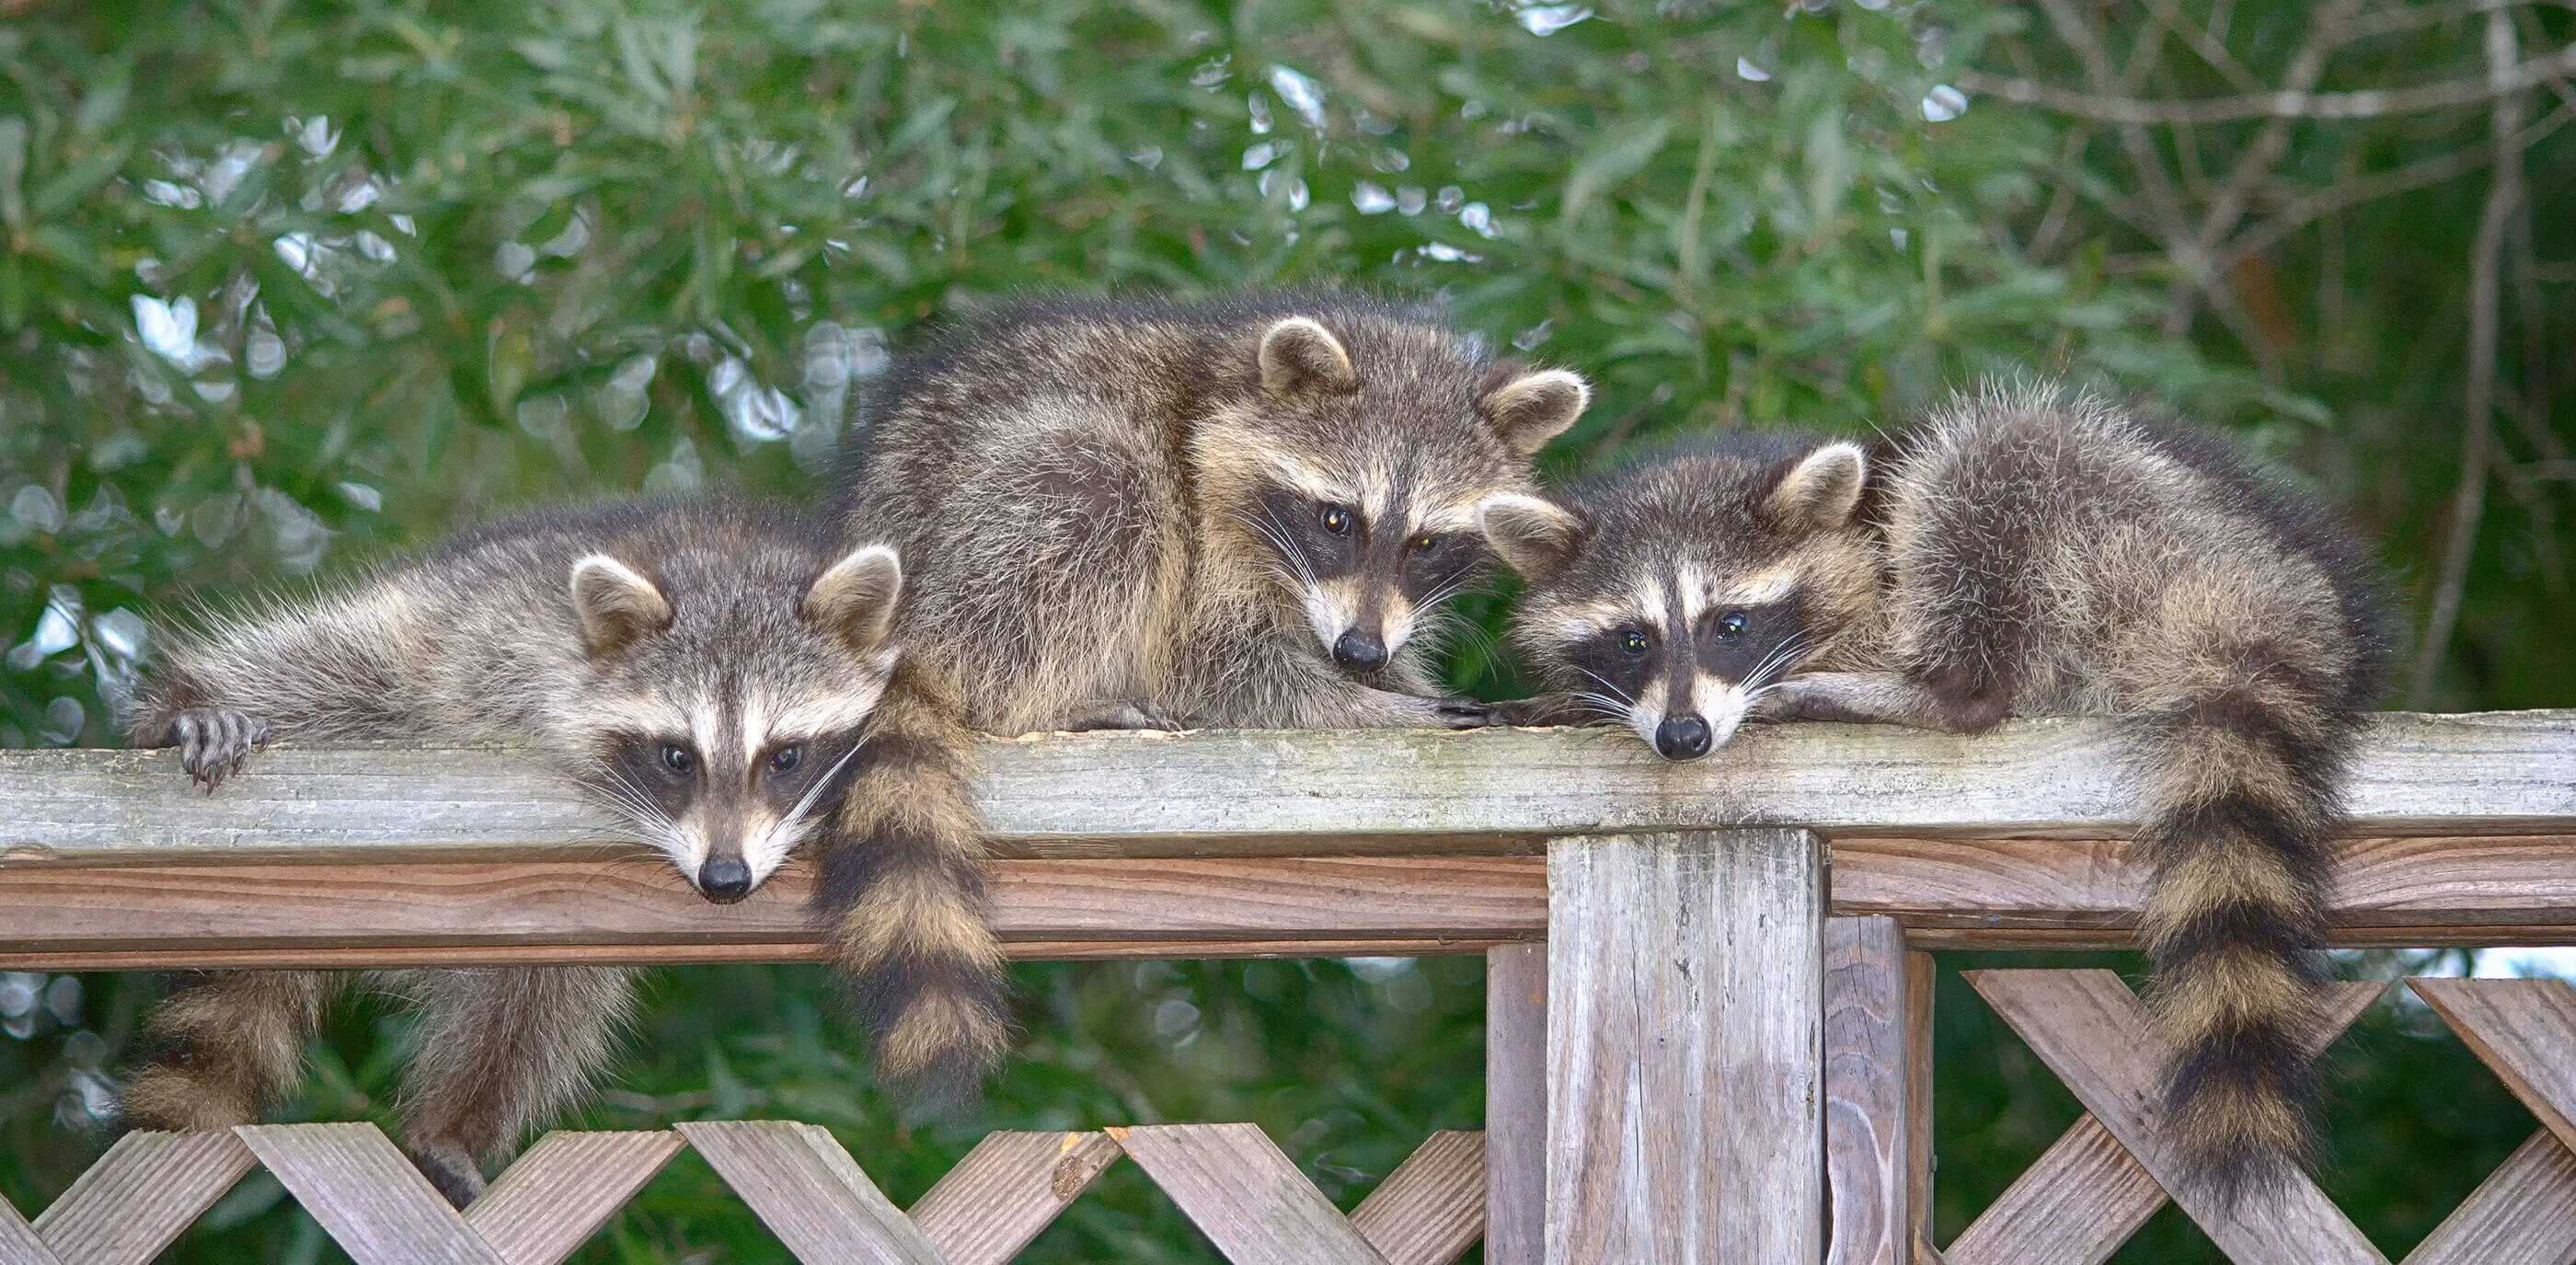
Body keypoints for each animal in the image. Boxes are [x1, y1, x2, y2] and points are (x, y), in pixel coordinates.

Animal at [121, 497, 906, 1205]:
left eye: (786, 756)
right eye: (678, 756)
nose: (724, 878)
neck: (729, 565)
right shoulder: (500, 637)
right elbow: (336, 668)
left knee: (536, 1001)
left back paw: (454, 1123)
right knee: (330, 663)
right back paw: (184, 705)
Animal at [824, 292, 1586, 1102]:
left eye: (1427, 544)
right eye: (1338, 519)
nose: (1359, 651)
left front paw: (1411, 684)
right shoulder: (1205, 536)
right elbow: (1219, 668)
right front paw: (1386, 708)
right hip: (986, 534)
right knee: (1098, 492)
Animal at [1494, 386, 2390, 1205]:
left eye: (1731, 625)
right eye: (1632, 639)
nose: (1685, 736)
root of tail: (2281, 591)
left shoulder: (1877, 581)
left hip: (2117, 526)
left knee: (1989, 470)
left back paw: (1912, 690)